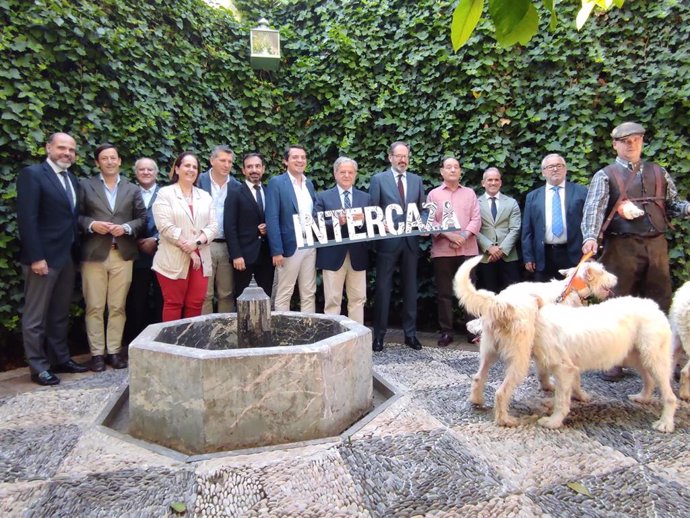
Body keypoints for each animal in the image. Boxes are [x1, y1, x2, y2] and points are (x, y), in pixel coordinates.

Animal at [452, 255, 612, 426]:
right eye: (602, 270)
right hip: (519, 360)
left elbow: (543, 371)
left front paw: (547, 386)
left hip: (489, 352)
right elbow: (575, 378)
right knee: (501, 392)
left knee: (478, 377)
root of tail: (502, 305)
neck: (571, 290)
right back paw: (505, 420)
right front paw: (581, 395)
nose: (614, 278)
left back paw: (477, 400)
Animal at [536, 296, 676, 434]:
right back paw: (642, 398)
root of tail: (653, 306)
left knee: (670, 396)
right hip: (636, 358)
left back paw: (665, 423)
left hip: (655, 361)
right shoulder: (571, 367)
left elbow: (561, 400)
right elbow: (573, 385)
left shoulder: (563, 369)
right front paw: (580, 397)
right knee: (649, 380)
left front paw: (553, 421)